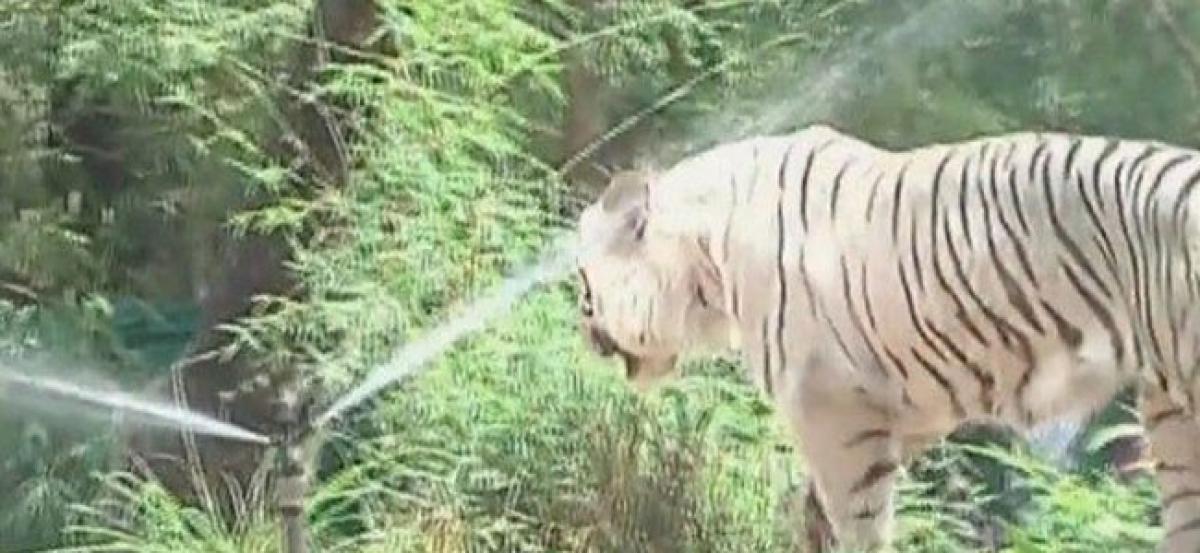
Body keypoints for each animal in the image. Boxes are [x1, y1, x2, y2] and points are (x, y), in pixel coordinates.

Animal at [573, 122, 1200, 549]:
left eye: (582, 277)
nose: (583, 331)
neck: (705, 257)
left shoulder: (834, 412)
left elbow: (859, 520)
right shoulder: (910, 407)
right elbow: (816, 503)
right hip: (1172, 419)